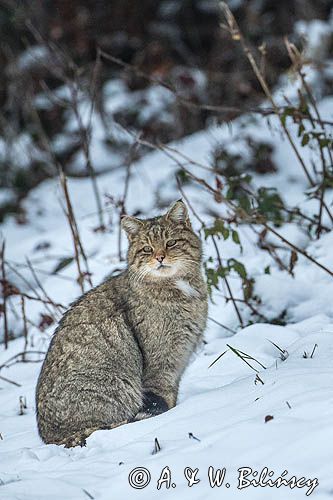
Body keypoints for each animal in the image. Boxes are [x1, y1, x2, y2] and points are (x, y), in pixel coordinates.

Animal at [36, 201, 208, 448]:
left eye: (171, 243)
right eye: (147, 249)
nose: (160, 257)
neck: (180, 289)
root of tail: (50, 437)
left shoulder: (179, 359)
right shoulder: (161, 363)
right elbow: (163, 395)